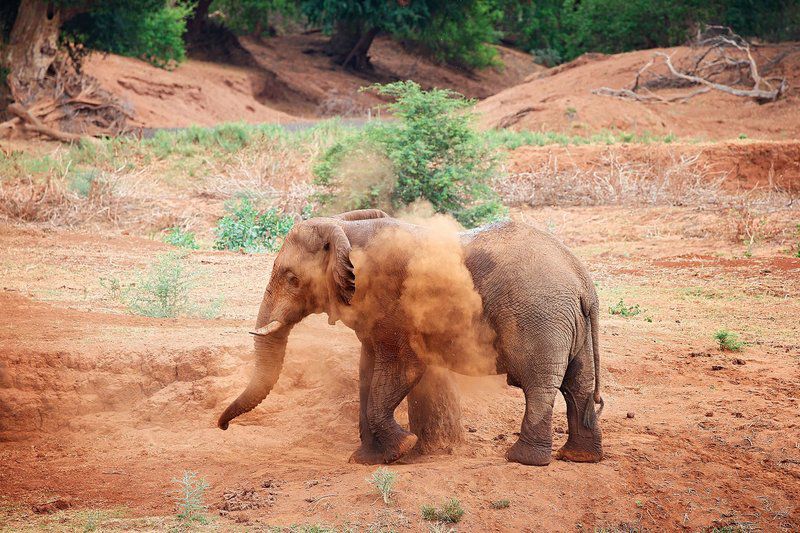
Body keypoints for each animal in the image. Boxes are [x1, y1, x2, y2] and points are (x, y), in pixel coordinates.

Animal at [216, 208, 604, 466]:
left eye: (292, 279)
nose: (222, 427)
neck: (346, 229)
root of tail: (583, 281)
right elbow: (367, 372)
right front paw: (368, 458)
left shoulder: (393, 303)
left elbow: (402, 369)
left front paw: (400, 450)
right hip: (570, 324)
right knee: (578, 385)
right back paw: (579, 457)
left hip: (540, 318)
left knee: (540, 385)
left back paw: (523, 459)